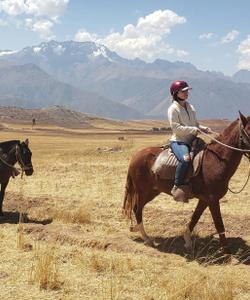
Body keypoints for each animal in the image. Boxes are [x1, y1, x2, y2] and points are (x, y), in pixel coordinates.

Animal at [123, 111, 250, 252]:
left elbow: (195, 217)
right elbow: (219, 223)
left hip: (152, 192)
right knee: (137, 209)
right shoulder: (213, 199)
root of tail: (135, 156)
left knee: (137, 208)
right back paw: (147, 239)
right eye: (249, 130)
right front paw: (226, 251)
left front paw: (188, 241)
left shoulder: (205, 200)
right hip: (142, 191)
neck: (216, 161)